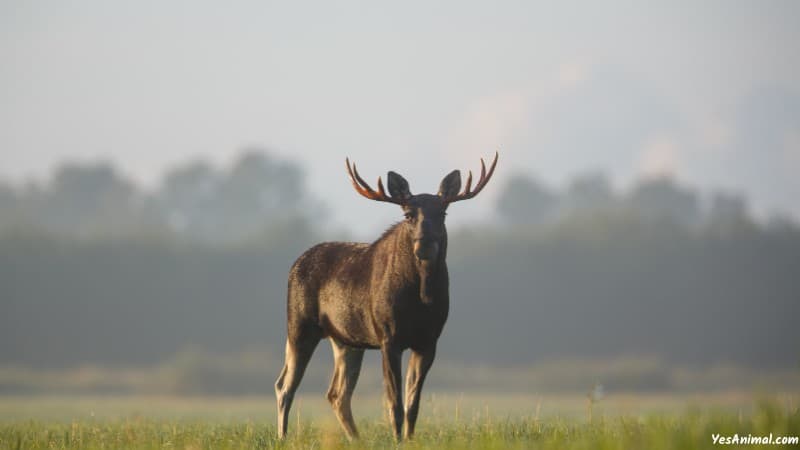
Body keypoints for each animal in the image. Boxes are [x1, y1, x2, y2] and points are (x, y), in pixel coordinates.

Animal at [278, 153, 496, 442]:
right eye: (408, 214)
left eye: (443, 212)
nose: (424, 244)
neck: (421, 298)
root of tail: (295, 264)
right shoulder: (388, 336)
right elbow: (394, 403)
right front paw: (398, 440)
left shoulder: (429, 340)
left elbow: (413, 403)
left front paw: (410, 440)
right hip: (299, 326)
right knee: (285, 386)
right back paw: (282, 437)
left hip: (346, 340)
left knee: (336, 394)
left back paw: (356, 439)